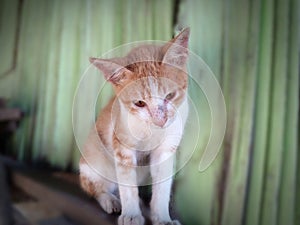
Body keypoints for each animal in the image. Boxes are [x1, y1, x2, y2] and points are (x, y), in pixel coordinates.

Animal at [79, 27, 190, 225]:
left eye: (170, 96)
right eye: (139, 103)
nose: (160, 121)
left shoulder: (166, 148)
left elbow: (162, 188)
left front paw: (162, 218)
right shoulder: (122, 147)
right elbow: (127, 185)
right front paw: (131, 215)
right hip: (94, 164)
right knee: (95, 187)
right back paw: (110, 200)